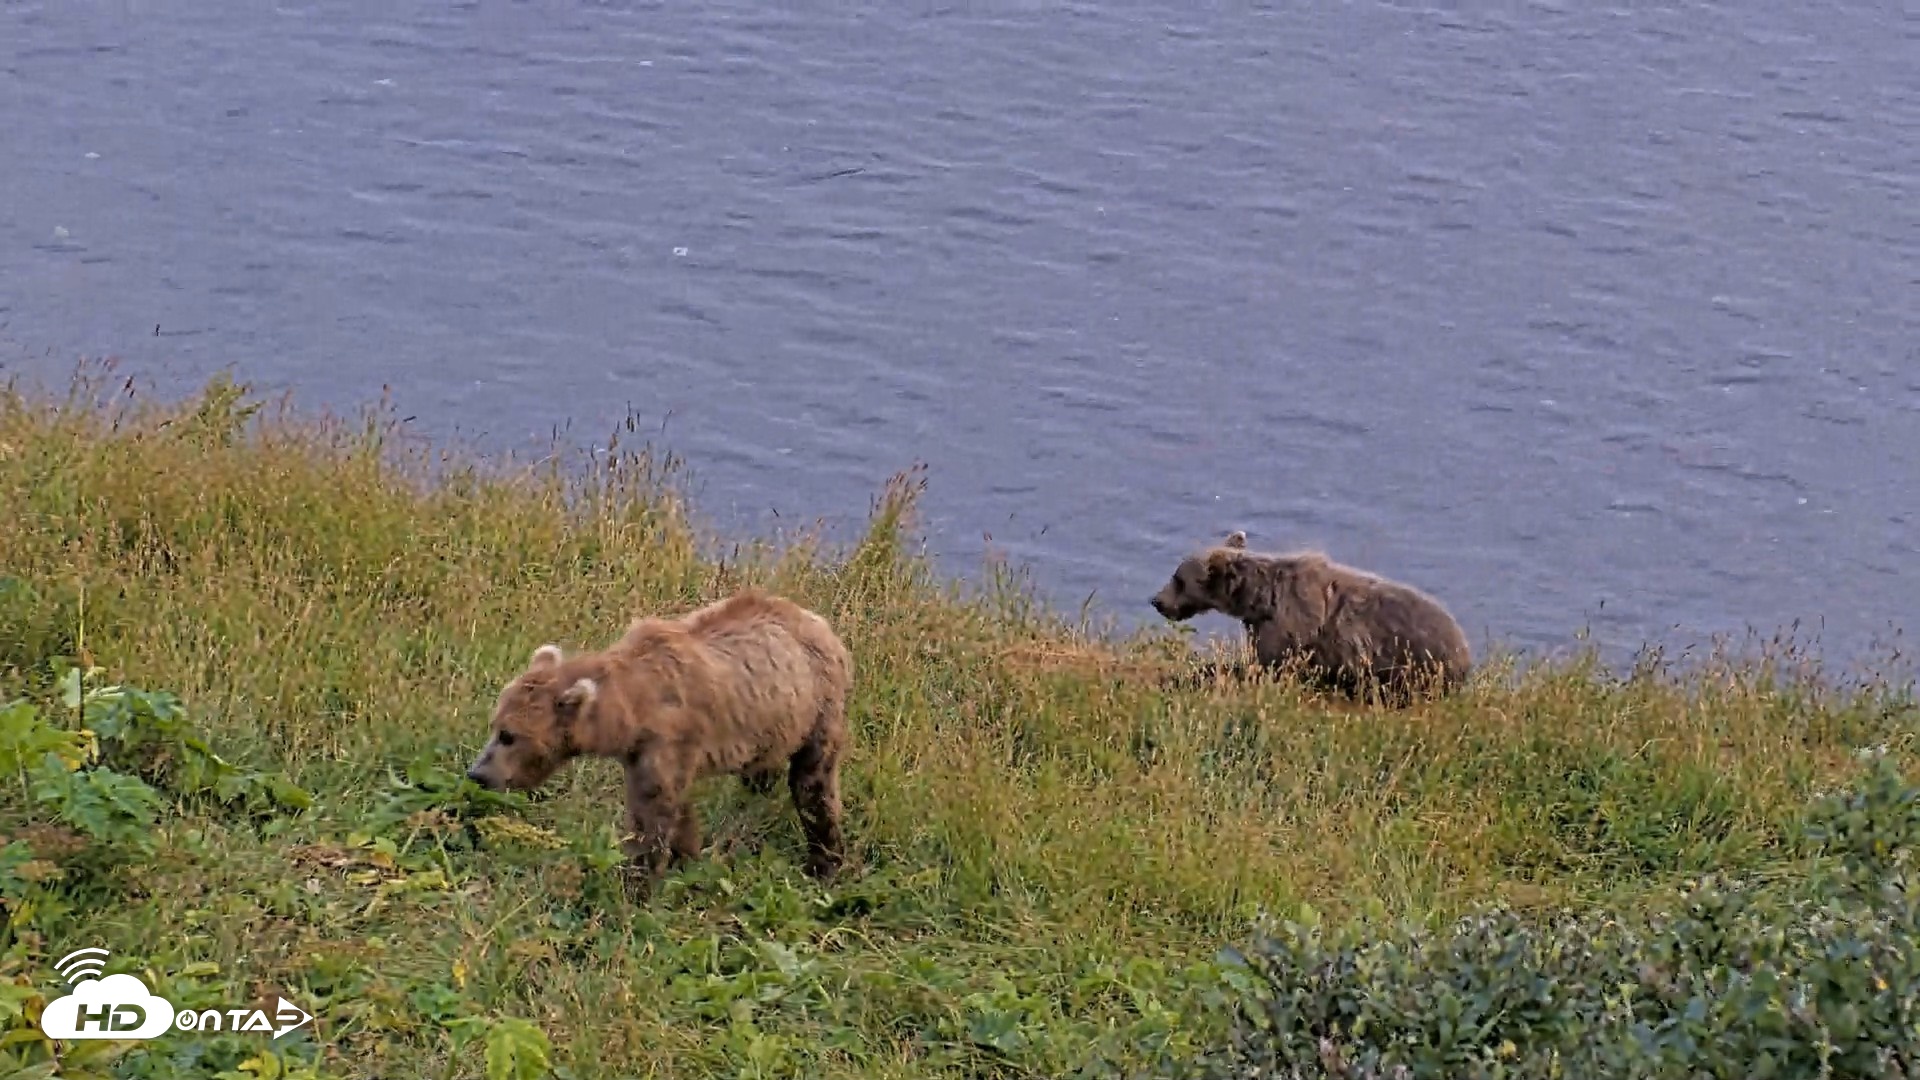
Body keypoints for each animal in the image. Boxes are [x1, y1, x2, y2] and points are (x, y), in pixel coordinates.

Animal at [464, 587, 854, 888]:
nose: (477, 774)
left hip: (818, 706)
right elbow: (675, 807)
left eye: (509, 736)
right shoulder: (642, 751)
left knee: (814, 784)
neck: (632, 708)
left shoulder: (670, 737)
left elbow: (652, 810)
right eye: (494, 724)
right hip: (772, 722)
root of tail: (822, 624)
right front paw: (686, 854)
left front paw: (638, 880)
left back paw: (825, 861)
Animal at [1149, 530, 1472, 705]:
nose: (1157, 601)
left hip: (1412, 661)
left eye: (1178, 579)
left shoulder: (1290, 628)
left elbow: (1263, 667)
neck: (1260, 601)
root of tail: (1465, 650)